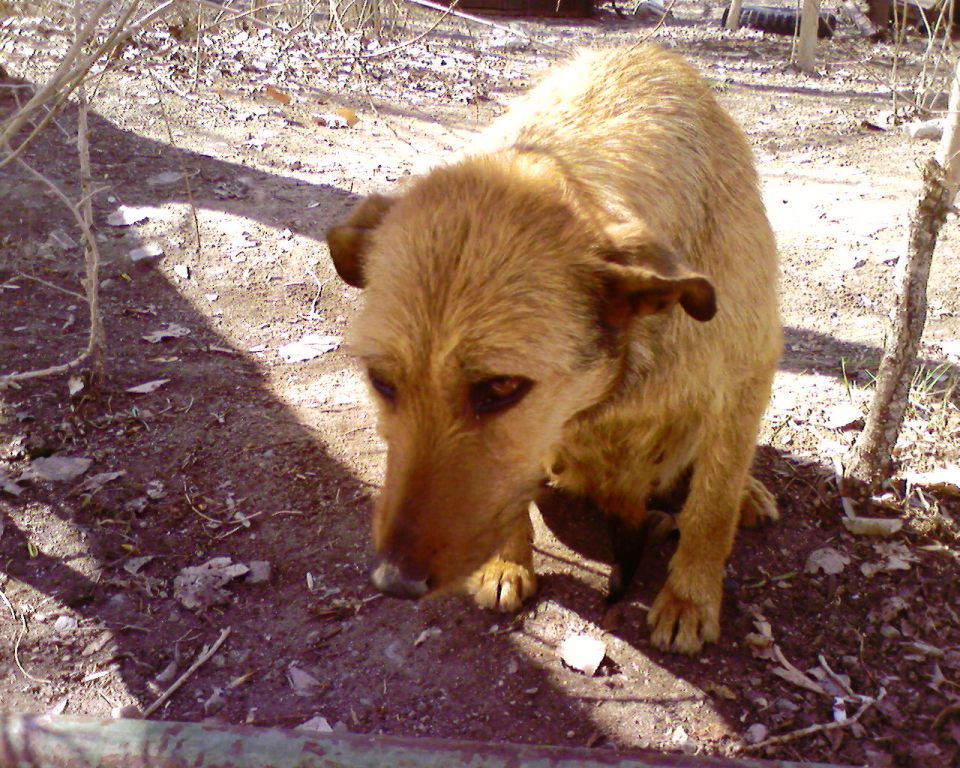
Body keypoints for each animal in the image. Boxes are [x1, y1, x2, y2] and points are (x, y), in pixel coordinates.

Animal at [326, 45, 784, 652]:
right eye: (381, 380)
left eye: (500, 388)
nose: (392, 582)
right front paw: (506, 562)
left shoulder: (745, 379)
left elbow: (713, 504)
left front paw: (690, 596)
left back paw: (748, 493)